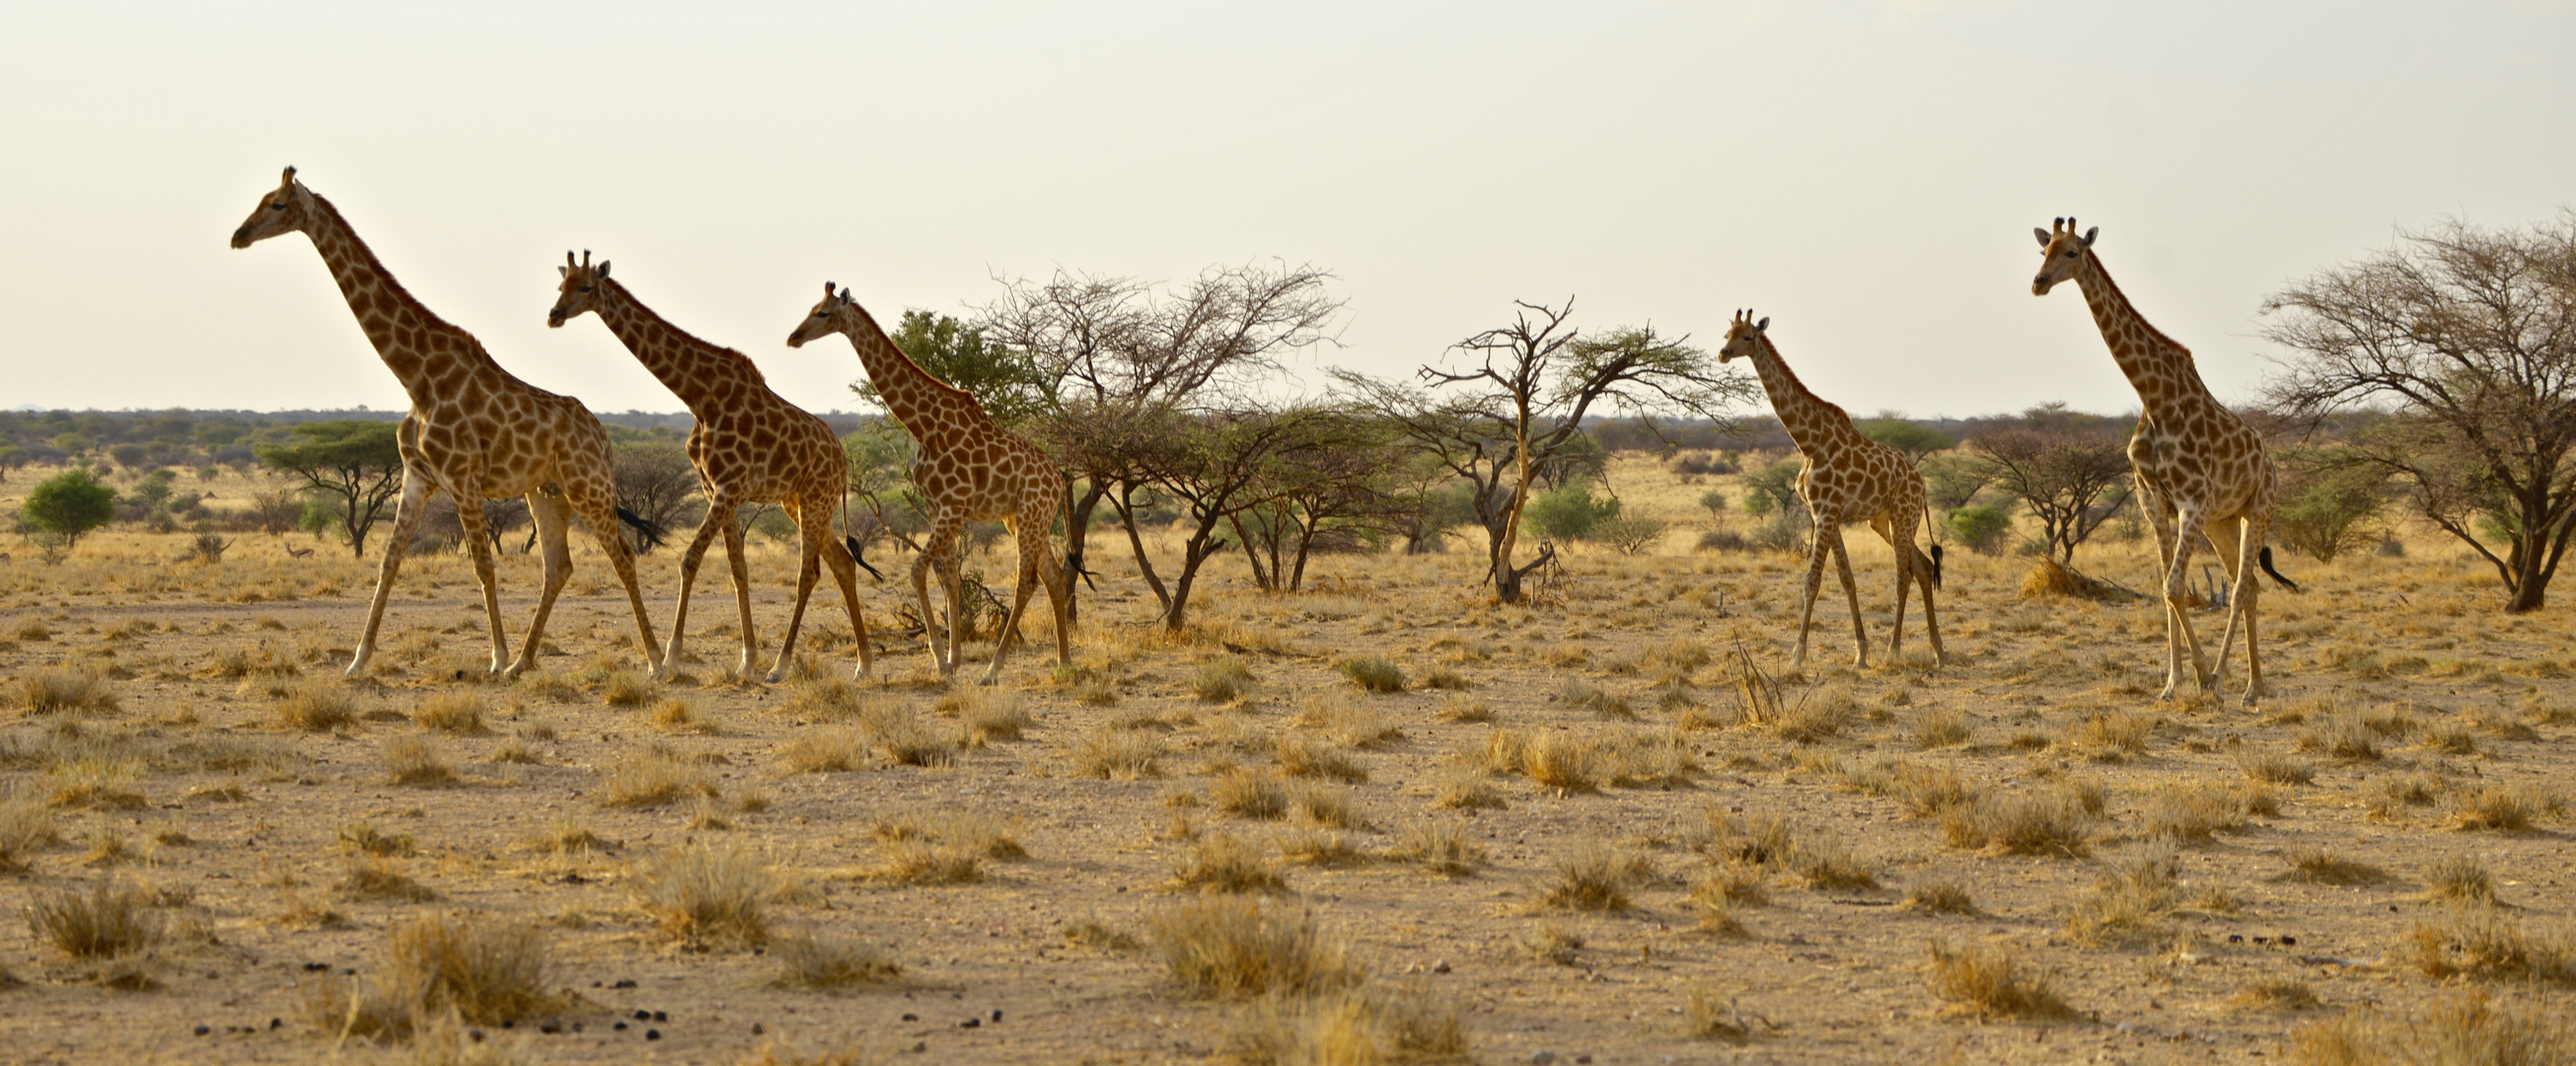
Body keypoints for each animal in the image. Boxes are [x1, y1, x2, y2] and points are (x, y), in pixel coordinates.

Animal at [228, 166, 664, 684]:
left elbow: (482, 564)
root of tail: (603, 436)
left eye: (276, 205)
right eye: (260, 199)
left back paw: (655, 660)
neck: (419, 377)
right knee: (558, 567)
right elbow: (388, 561)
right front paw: (357, 660)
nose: (238, 235)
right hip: (547, 492)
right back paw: (523, 662)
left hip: (588, 487)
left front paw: (493, 657)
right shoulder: (418, 476)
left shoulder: (461, 477)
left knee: (623, 554)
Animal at [549, 253, 880, 679]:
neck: (700, 397)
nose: (555, 314)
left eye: (586, 287)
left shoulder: (728, 487)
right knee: (842, 563)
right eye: (562, 286)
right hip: (797, 501)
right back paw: (863, 663)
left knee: (811, 572)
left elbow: (689, 560)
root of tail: (842, 459)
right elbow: (738, 570)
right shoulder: (715, 489)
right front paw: (747, 659)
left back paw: (782, 664)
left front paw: (671, 656)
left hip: (816, 496)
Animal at [777, 282, 1071, 684]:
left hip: (1030, 516)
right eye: (811, 308)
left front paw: (939, 660)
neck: (925, 425)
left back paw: (994, 669)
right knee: (1054, 579)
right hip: (1023, 519)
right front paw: (952, 660)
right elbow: (950, 578)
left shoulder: (954, 507)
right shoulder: (937, 507)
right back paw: (1064, 660)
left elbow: (917, 570)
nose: (793, 337)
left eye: (823, 313)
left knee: (1026, 583)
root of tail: (1058, 481)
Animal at [1721, 312, 1937, 669]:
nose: (1723, 353)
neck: (1809, 443)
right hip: (1882, 520)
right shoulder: (1824, 513)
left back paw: (1894, 650)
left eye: (1748, 336)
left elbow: (1812, 582)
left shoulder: (1826, 512)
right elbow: (1847, 580)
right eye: (1727, 334)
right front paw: (1860, 653)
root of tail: (1922, 484)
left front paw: (1797, 655)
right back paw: (1939, 651)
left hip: (1905, 515)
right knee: (1923, 566)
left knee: (1903, 575)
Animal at [2029, 216, 2298, 705]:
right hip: (2221, 522)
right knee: (2249, 587)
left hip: (2258, 510)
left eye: (2072, 252)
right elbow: (2165, 587)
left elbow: (2174, 585)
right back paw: (2250, 684)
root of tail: (2268, 461)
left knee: (2240, 589)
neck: (2155, 399)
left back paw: (2237, 683)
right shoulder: (2153, 501)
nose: (2039, 283)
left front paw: (2202, 674)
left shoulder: (2192, 501)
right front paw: (2174, 683)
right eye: (2043, 251)